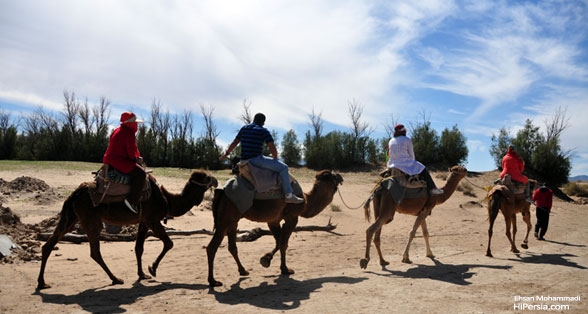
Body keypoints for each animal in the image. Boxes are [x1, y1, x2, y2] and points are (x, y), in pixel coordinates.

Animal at [36, 169, 218, 290]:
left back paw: (42, 282)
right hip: (90, 218)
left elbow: (138, 248)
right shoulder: (152, 220)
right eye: (207, 177)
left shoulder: (143, 221)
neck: (168, 201)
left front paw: (142, 274)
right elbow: (169, 243)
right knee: (95, 251)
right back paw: (115, 279)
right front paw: (153, 269)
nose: (216, 181)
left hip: (72, 216)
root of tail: (74, 194)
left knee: (49, 245)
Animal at [207, 169, 344, 288]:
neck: (305, 201)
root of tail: (221, 191)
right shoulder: (292, 217)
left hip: (233, 219)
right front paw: (285, 269)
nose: (341, 177)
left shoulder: (273, 220)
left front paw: (266, 259)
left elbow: (279, 242)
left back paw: (243, 271)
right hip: (226, 217)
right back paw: (213, 281)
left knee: (232, 246)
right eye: (333, 176)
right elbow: (283, 244)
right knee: (212, 247)